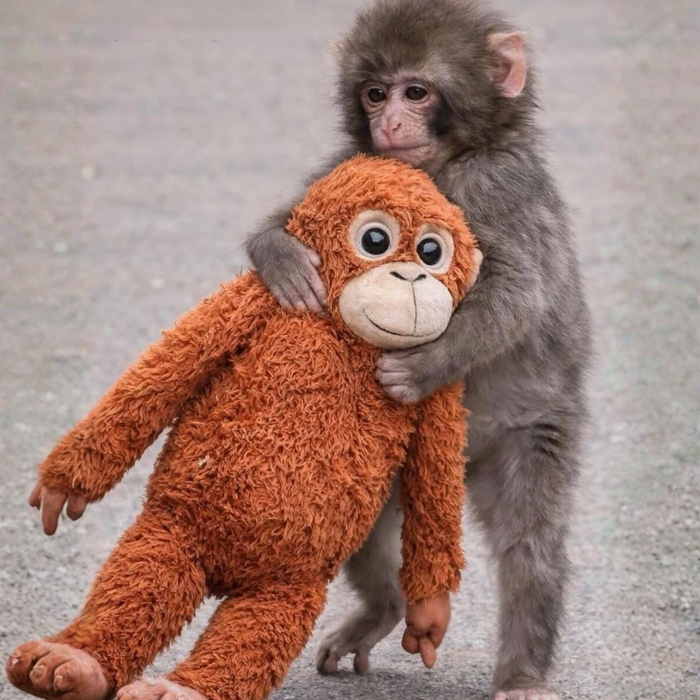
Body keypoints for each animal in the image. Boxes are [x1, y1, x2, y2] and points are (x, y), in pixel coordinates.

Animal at [245, 1, 592, 699]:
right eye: (375, 93)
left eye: (417, 92)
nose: (389, 123)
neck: (443, 162)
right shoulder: (355, 164)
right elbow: (289, 219)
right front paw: (280, 256)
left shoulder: (497, 183)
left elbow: (518, 292)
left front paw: (420, 368)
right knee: (358, 517)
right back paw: (386, 609)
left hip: (528, 432)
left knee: (529, 543)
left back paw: (522, 672)